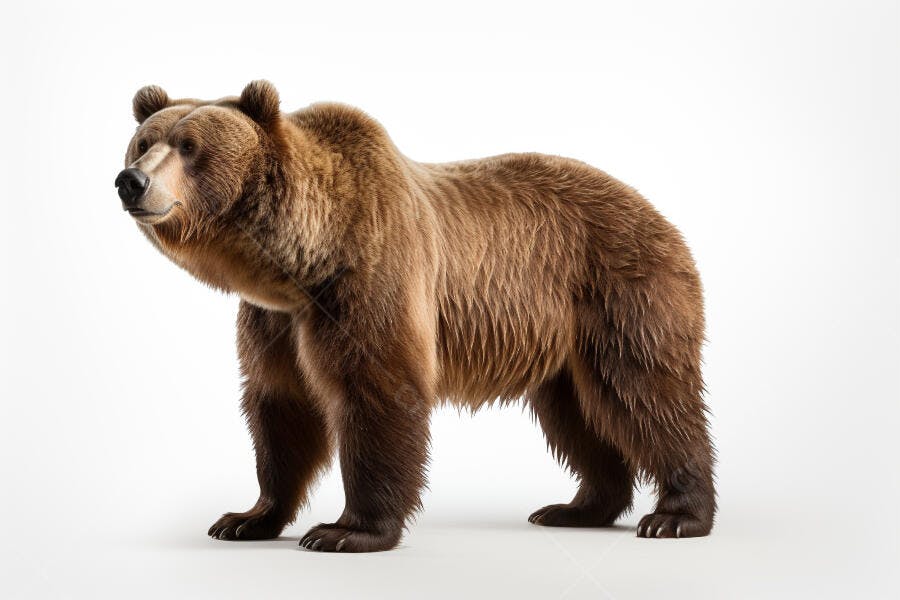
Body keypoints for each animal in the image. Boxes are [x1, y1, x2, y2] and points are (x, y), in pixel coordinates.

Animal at [116, 80, 716, 552]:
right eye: (143, 143)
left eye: (190, 147)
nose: (131, 181)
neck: (300, 263)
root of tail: (658, 213)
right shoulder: (275, 322)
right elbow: (280, 405)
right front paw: (245, 518)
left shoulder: (370, 278)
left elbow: (377, 391)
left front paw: (346, 530)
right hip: (564, 342)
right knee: (577, 417)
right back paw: (577, 507)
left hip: (621, 290)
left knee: (646, 393)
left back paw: (675, 515)